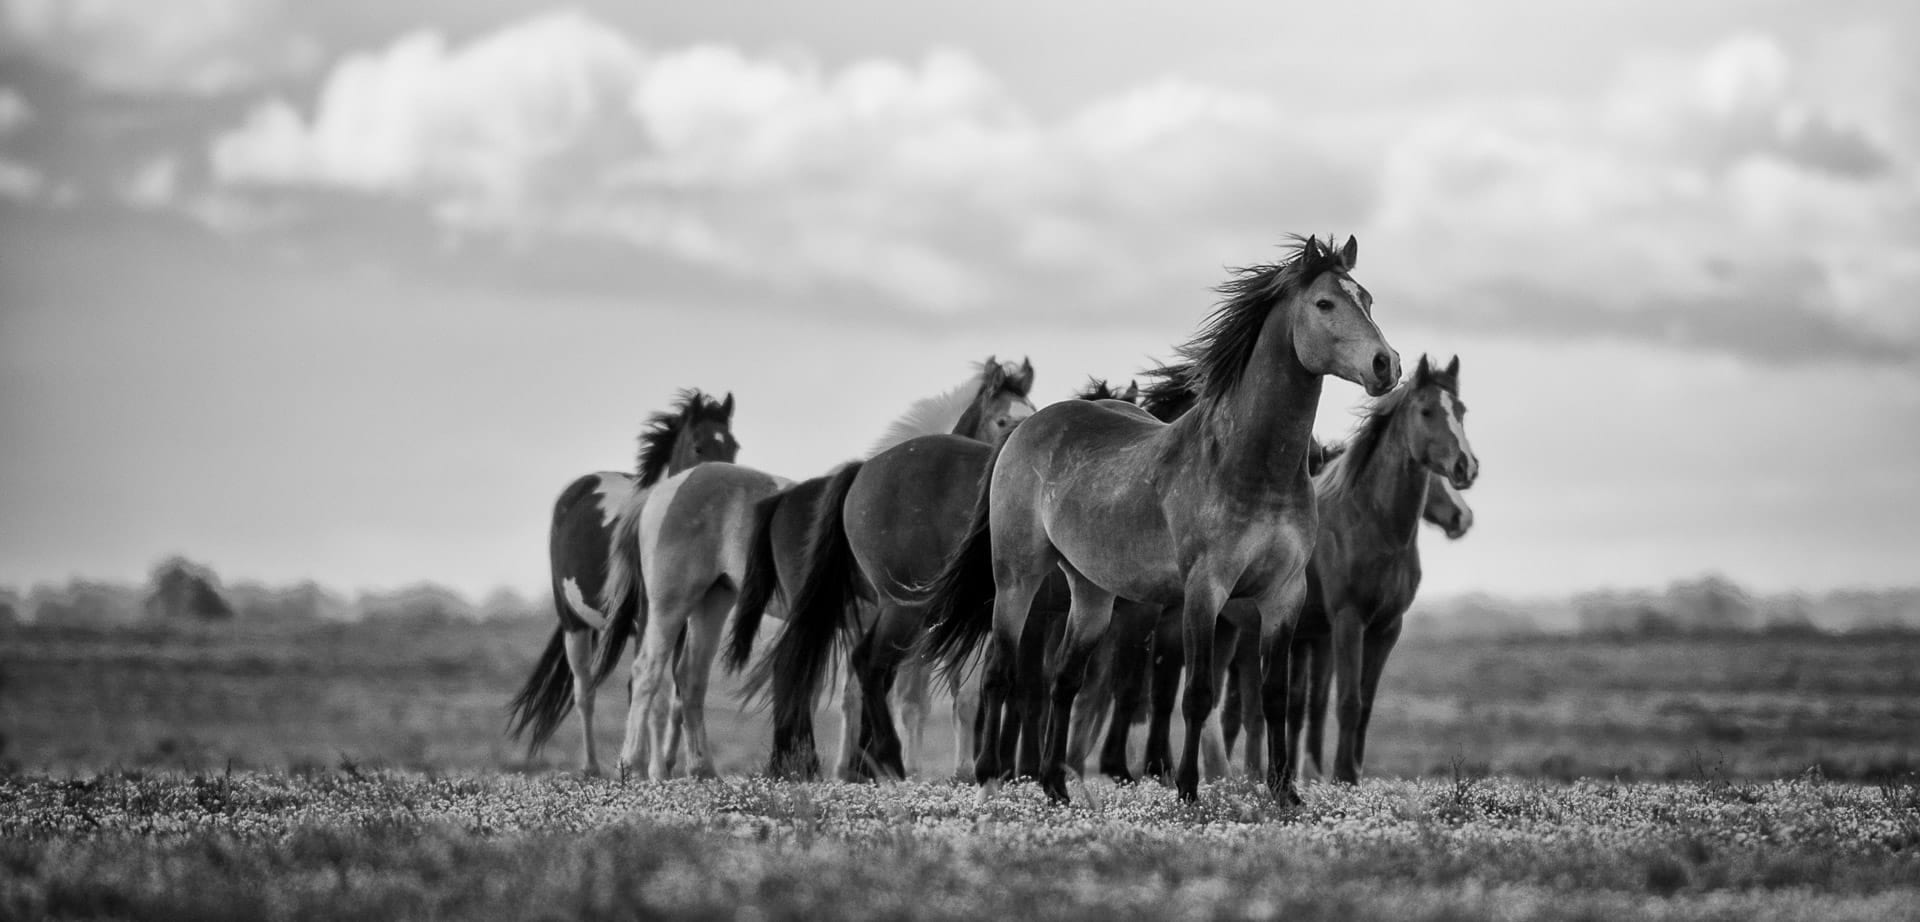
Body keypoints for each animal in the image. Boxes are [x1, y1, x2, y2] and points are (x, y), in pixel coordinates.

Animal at [506, 390, 738, 775]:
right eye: (699, 446)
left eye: (734, 446)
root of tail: (584, 483)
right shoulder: (651, 620)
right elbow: (658, 696)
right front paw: (657, 772)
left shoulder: (685, 625)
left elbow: (678, 694)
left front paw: (669, 765)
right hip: (575, 625)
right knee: (584, 691)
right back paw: (592, 768)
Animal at [921, 234, 1399, 804]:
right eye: (1325, 303)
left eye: (1367, 299)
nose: (1386, 365)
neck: (1250, 466)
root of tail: (1026, 427)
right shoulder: (1204, 592)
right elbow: (1196, 694)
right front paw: (1188, 790)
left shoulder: (1284, 593)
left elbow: (1275, 695)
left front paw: (1285, 793)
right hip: (1018, 578)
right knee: (1000, 672)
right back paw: (990, 781)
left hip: (1091, 593)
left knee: (1065, 678)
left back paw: (1056, 787)